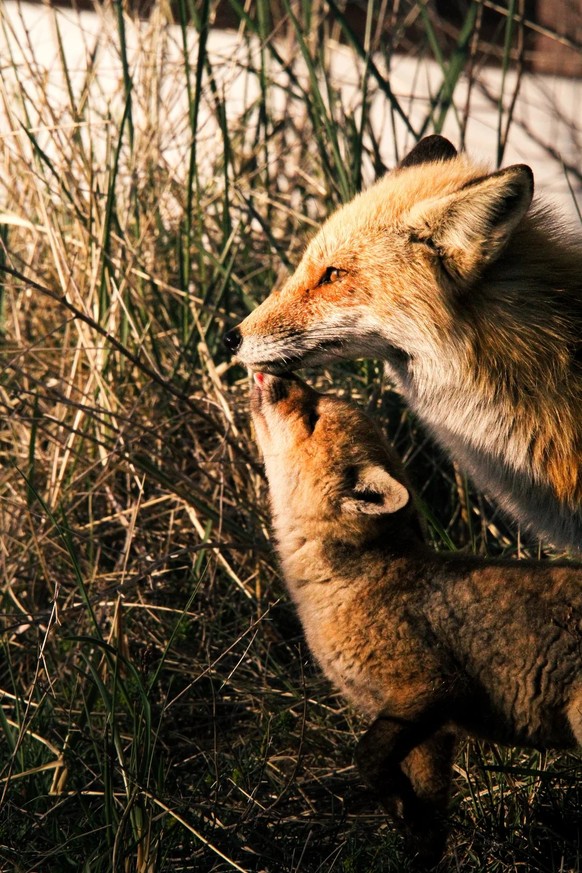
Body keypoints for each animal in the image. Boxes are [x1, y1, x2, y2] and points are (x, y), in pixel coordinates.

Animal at [251, 372, 582, 865]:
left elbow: (366, 758)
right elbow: (427, 827)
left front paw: (399, 808)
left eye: (311, 416)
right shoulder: (427, 735)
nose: (279, 374)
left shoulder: (433, 687)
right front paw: (414, 838)